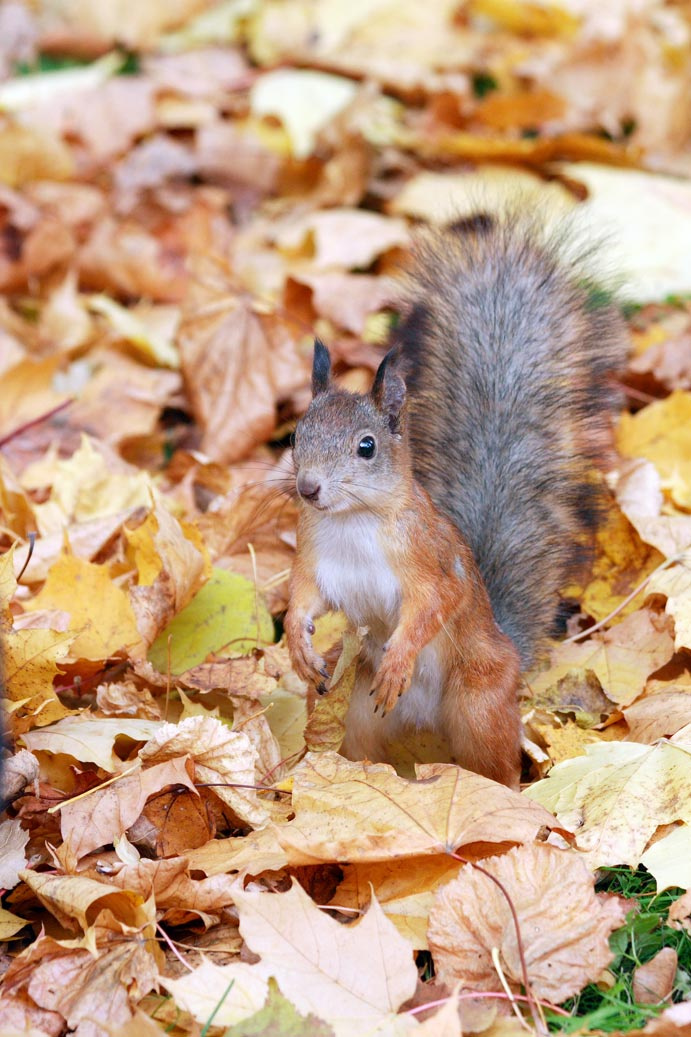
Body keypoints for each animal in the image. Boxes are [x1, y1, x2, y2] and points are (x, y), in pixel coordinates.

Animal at [284, 214, 627, 787]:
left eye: (366, 446)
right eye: (294, 434)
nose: (308, 488)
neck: (353, 522)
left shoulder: (430, 558)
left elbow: (435, 603)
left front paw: (400, 657)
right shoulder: (315, 558)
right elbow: (303, 598)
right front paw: (297, 645)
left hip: (478, 701)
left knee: (495, 765)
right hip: (353, 702)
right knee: (358, 743)